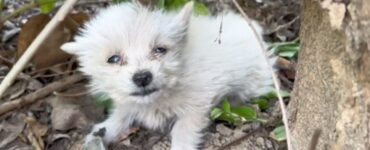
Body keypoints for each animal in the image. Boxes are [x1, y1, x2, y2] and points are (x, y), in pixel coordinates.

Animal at [61, 1, 274, 150]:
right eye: (113, 59)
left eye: (160, 50)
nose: (142, 77)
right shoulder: (130, 103)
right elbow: (120, 115)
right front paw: (101, 132)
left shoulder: (198, 104)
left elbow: (182, 128)